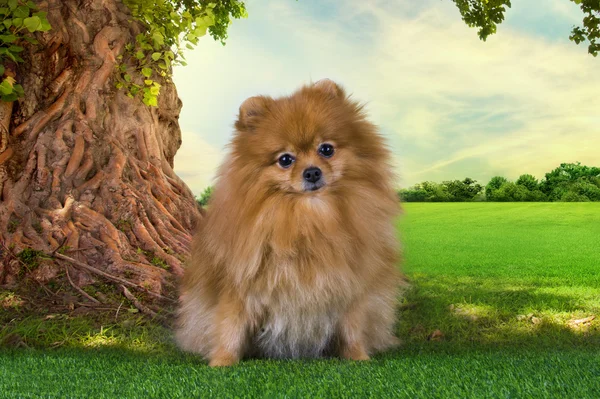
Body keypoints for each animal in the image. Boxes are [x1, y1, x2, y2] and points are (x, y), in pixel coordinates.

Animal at [176, 79, 400, 368]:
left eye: (326, 149)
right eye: (285, 159)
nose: (312, 172)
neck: (308, 218)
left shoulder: (351, 286)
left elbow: (352, 329)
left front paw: (358, 358)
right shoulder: (237, 288)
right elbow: (229, 328)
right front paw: (222, 362)